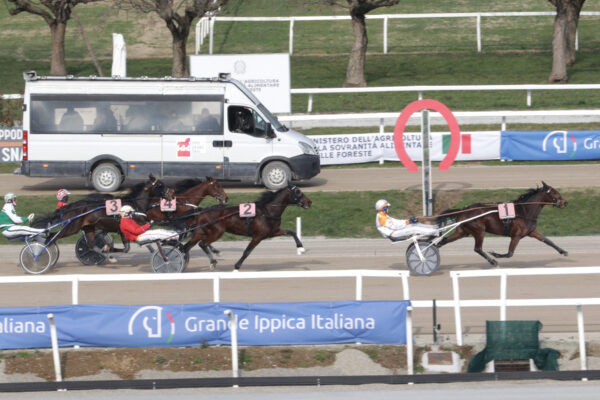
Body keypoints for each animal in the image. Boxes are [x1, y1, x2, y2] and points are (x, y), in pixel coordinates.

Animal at [32, 174, 170, 262]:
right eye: (160, 185)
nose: (170, 194)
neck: (134, 206)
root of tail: (70, 207)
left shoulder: (123, 231)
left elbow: (127, 248)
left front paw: (108, 249)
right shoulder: (133, 228)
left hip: (88, 228)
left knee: (91, 245)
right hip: (70, 228)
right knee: (51, 237)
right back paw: (38, 254)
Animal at [183, 182, 314, 270]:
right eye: (298, 191)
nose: (309, 202)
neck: (267, 211)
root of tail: (202, 211)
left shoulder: (273, 232)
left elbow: (292, 231)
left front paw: (301, 247)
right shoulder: (257, 236)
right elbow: (247, 252)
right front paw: (236, 267)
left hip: (200, 232)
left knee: (186, 247)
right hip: (217, 232)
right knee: (203, 244)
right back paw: (212, 262)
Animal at [436, 181, 568, 266]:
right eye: (554, 193)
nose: (565, 202)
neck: (524, 211)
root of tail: (463, 210)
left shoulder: (532, 231)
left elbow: (548, 241)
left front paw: (563, 251)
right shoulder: (516, 235)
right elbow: (509, 253)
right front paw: (496, 255)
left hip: (463, 232)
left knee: (444, 241)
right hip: (479, 231)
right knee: (477, 248)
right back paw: (492, 261)